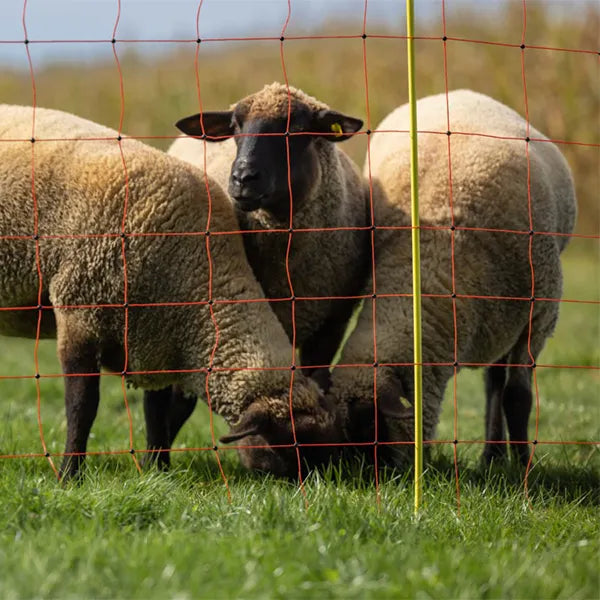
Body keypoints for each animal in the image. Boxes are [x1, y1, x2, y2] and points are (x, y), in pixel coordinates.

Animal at [0, 103, 342, 478]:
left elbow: (157, 413)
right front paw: (70, 475)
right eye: (292, 445)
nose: (329, 484)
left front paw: (157, 469)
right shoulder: (81, 312)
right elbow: (82, 406)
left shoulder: (160, 336)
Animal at [326, 89, 580, 466]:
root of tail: (456, 93)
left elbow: (518, 397)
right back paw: (492, 455)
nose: (355, 476)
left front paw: (524, 467)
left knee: (499, 384)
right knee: (494, 380)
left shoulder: (539, 315)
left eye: (372, 427)